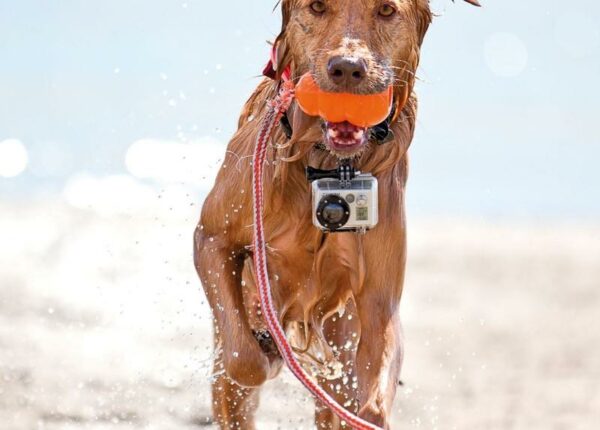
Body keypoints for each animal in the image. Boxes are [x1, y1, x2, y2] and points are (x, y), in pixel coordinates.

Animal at [195, 1, 480, 428]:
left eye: (386, 10)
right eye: (316, 6)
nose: (346, 68)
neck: (329, 164)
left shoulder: (379, 305)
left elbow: (371, 401)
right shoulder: (212, 241)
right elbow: (243, 359)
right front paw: (268, 350)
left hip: (343, 331)